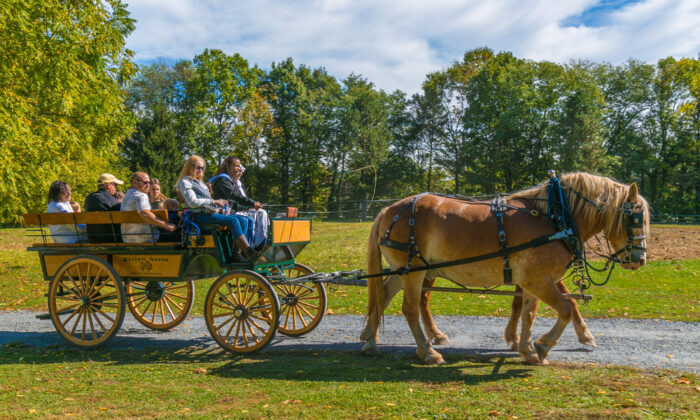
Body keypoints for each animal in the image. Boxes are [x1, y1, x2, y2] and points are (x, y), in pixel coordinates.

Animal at [360, 171, 652, 364]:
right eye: (635, 217)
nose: (640, 259)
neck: (555, 217)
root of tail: (389, 209)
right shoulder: (539, 280)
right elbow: (567, 308)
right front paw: (544, 346)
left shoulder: (532, 280)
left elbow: (528, 312)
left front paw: (527, 349)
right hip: (415, 271)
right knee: (410, 307)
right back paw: (427, 350)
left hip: (403, 271)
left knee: (383, 297)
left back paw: (371, 341)